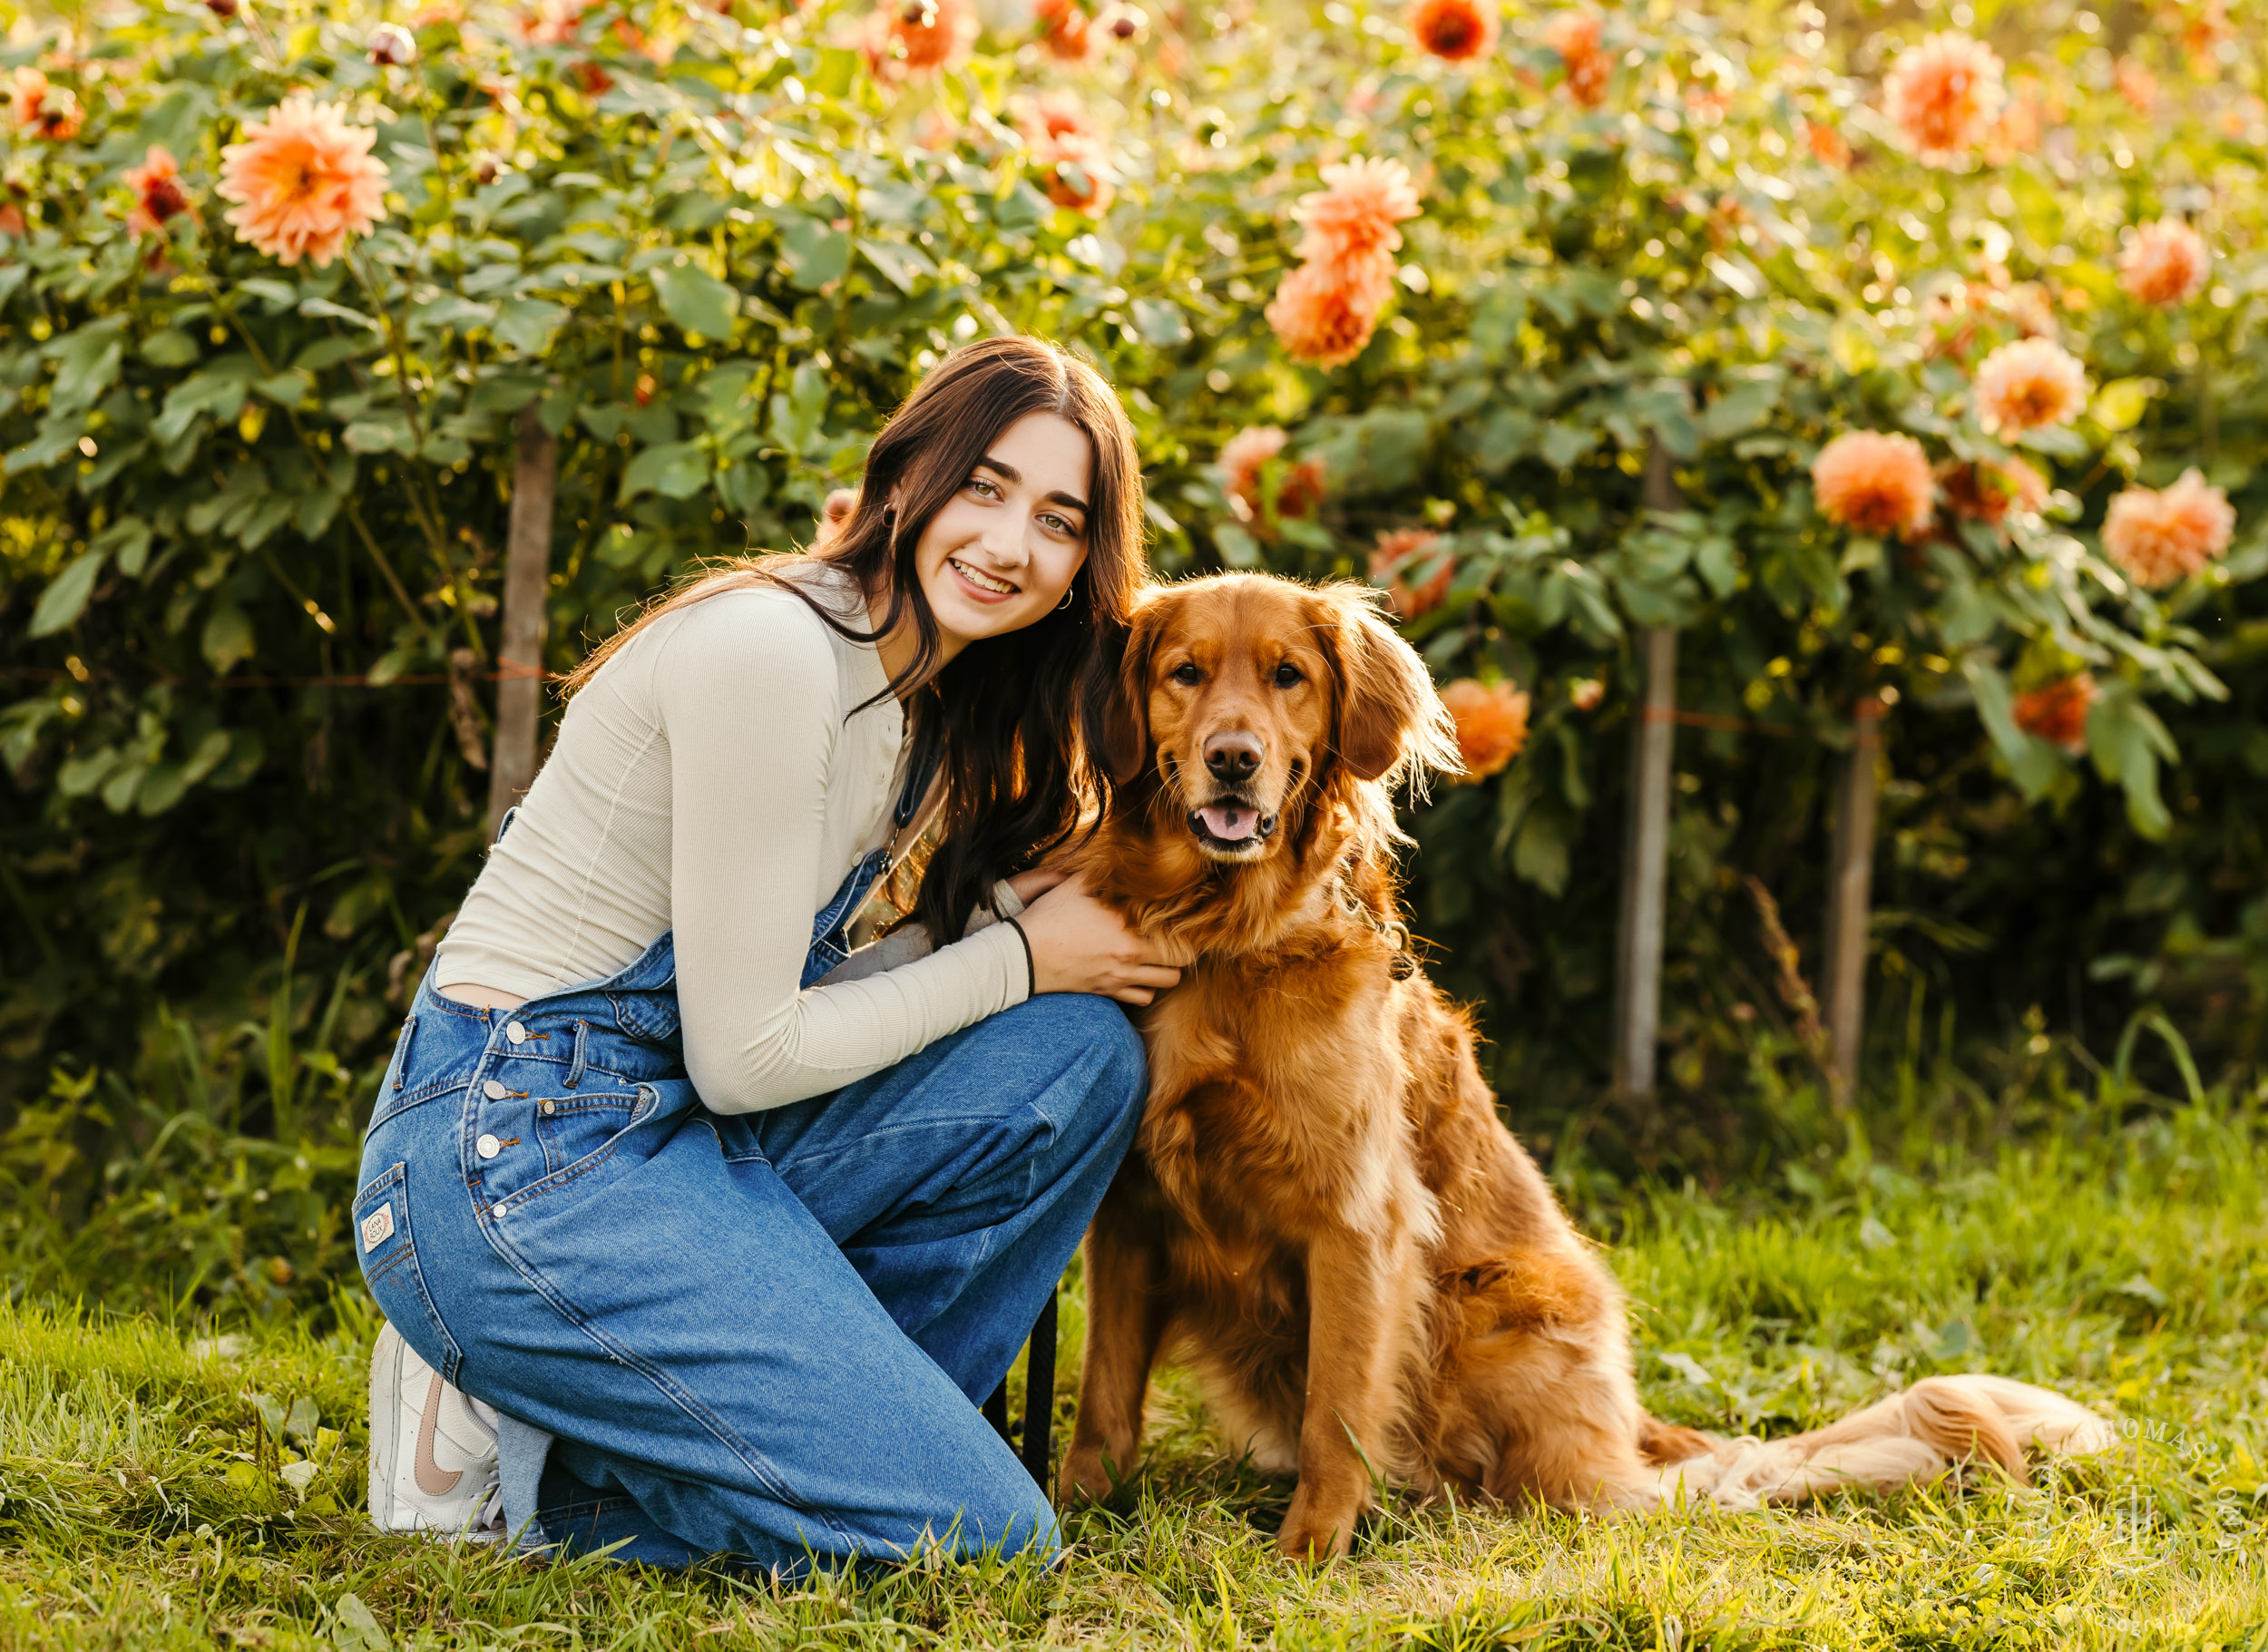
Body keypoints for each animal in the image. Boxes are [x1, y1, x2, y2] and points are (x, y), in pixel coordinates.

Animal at [1052, 578, 2114, 1560]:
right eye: (1185, 673)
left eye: (1287, 676)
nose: (1233, 759)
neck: (1229, 943)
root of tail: (1634, 1428)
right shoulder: (1131, 1211)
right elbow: (1104, 1394)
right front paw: (1074, 1518)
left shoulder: (1356, 1219)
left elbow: (1337, 1412)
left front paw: (1309, 1550)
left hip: (1496, 1310)